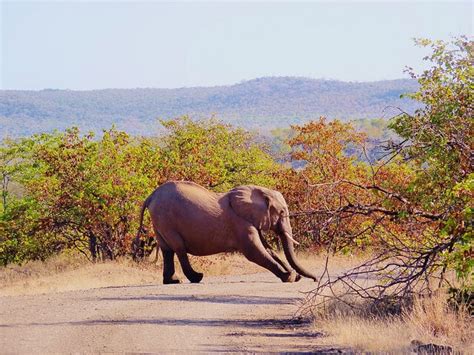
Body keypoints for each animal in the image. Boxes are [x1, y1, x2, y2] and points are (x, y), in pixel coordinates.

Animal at [134, 182, 318, 286]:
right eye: (281, 212)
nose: (316, 279)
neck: (258, 192)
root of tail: (151, 196)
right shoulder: (240, 223)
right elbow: (255, 252)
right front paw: (289, 277)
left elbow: (268, 250)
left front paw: (295, 276)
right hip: (165, 218)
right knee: (178, 248)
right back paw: (197, 278)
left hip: (159, 220)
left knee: (167, 249)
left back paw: (172, 281)